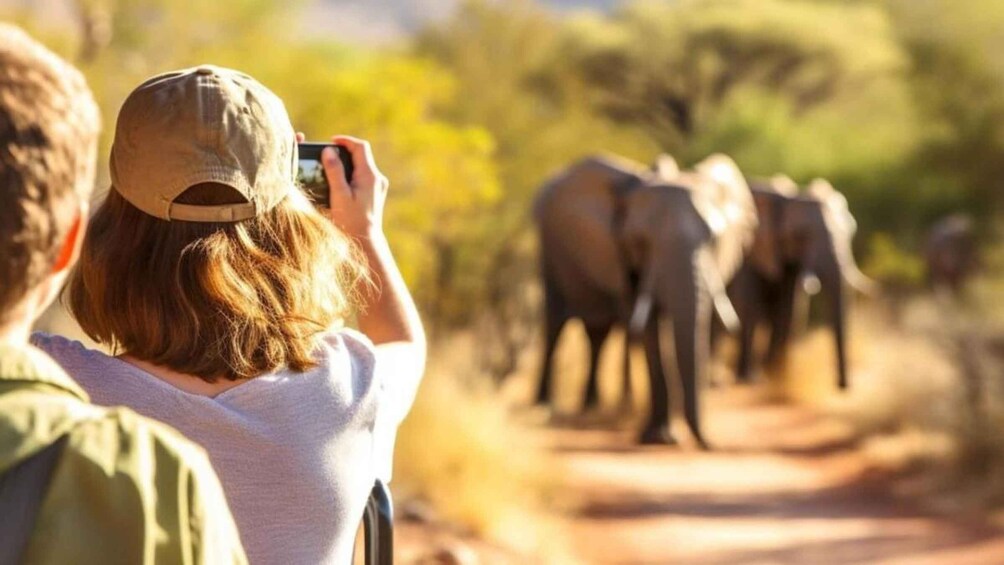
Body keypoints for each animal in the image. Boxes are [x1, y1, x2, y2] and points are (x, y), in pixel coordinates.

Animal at [533, 153, 757, 447]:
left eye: (714, 240)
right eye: (640, 242)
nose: (711, 443)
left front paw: (667, 434)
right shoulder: (621, 258)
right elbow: (650, 329)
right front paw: (660, 437)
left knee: (597, 334)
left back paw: (591, 405)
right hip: (549, 253)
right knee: (554, 324)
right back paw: (543, 408)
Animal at [727, 178, 873, 389]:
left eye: (851, 233)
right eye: (801, 235)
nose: (842, 387)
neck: (785, 196)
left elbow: (790, 311)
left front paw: (775, 376)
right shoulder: (746, 249)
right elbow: (749, 306)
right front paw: (750, 380)